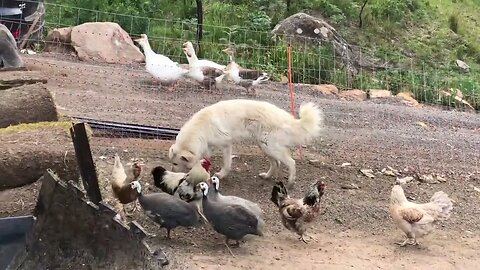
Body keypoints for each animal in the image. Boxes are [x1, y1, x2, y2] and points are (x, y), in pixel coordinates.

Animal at [168, 98, 322, 188]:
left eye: (175, 163)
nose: (172, 172)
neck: (200, 128)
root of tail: (288, 119)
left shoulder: (226, 145)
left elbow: (226, 163)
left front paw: (221, 175)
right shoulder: (208, 145)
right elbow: (205, 158)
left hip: (270, 147)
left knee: (291, 162)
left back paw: (290, 182)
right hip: (264, 146)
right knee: (276, 163)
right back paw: (267, 176)